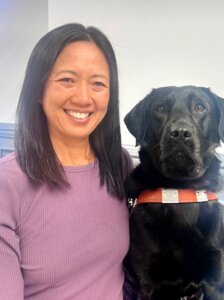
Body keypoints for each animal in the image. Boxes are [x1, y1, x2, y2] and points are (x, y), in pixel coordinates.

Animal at [125, 85, 224, 300]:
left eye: (200, 107)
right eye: (160, 108)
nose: (180, 133)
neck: (181, 191)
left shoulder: (216, 282)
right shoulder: (147, 283)